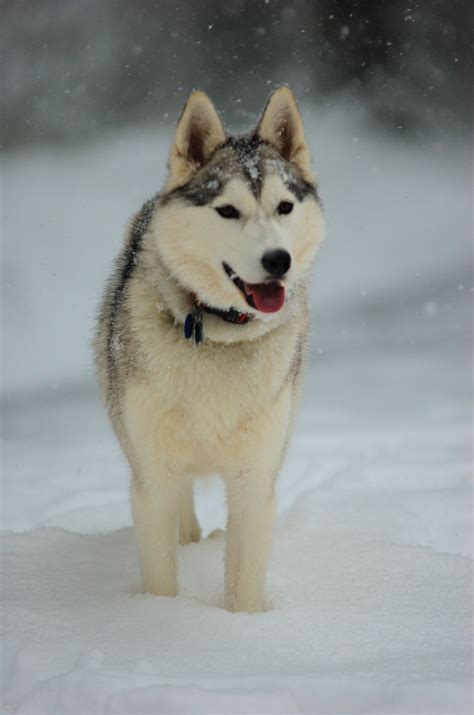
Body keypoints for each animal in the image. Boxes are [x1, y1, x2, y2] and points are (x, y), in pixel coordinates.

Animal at [96, 86, 326, 612]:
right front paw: (159, 614)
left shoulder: (256, 482)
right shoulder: (153, 480)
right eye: (227, 211)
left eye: (285, 207)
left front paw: (240, 626)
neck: (221, 335)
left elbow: (243, 584)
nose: (277, 261)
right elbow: (160, 575)